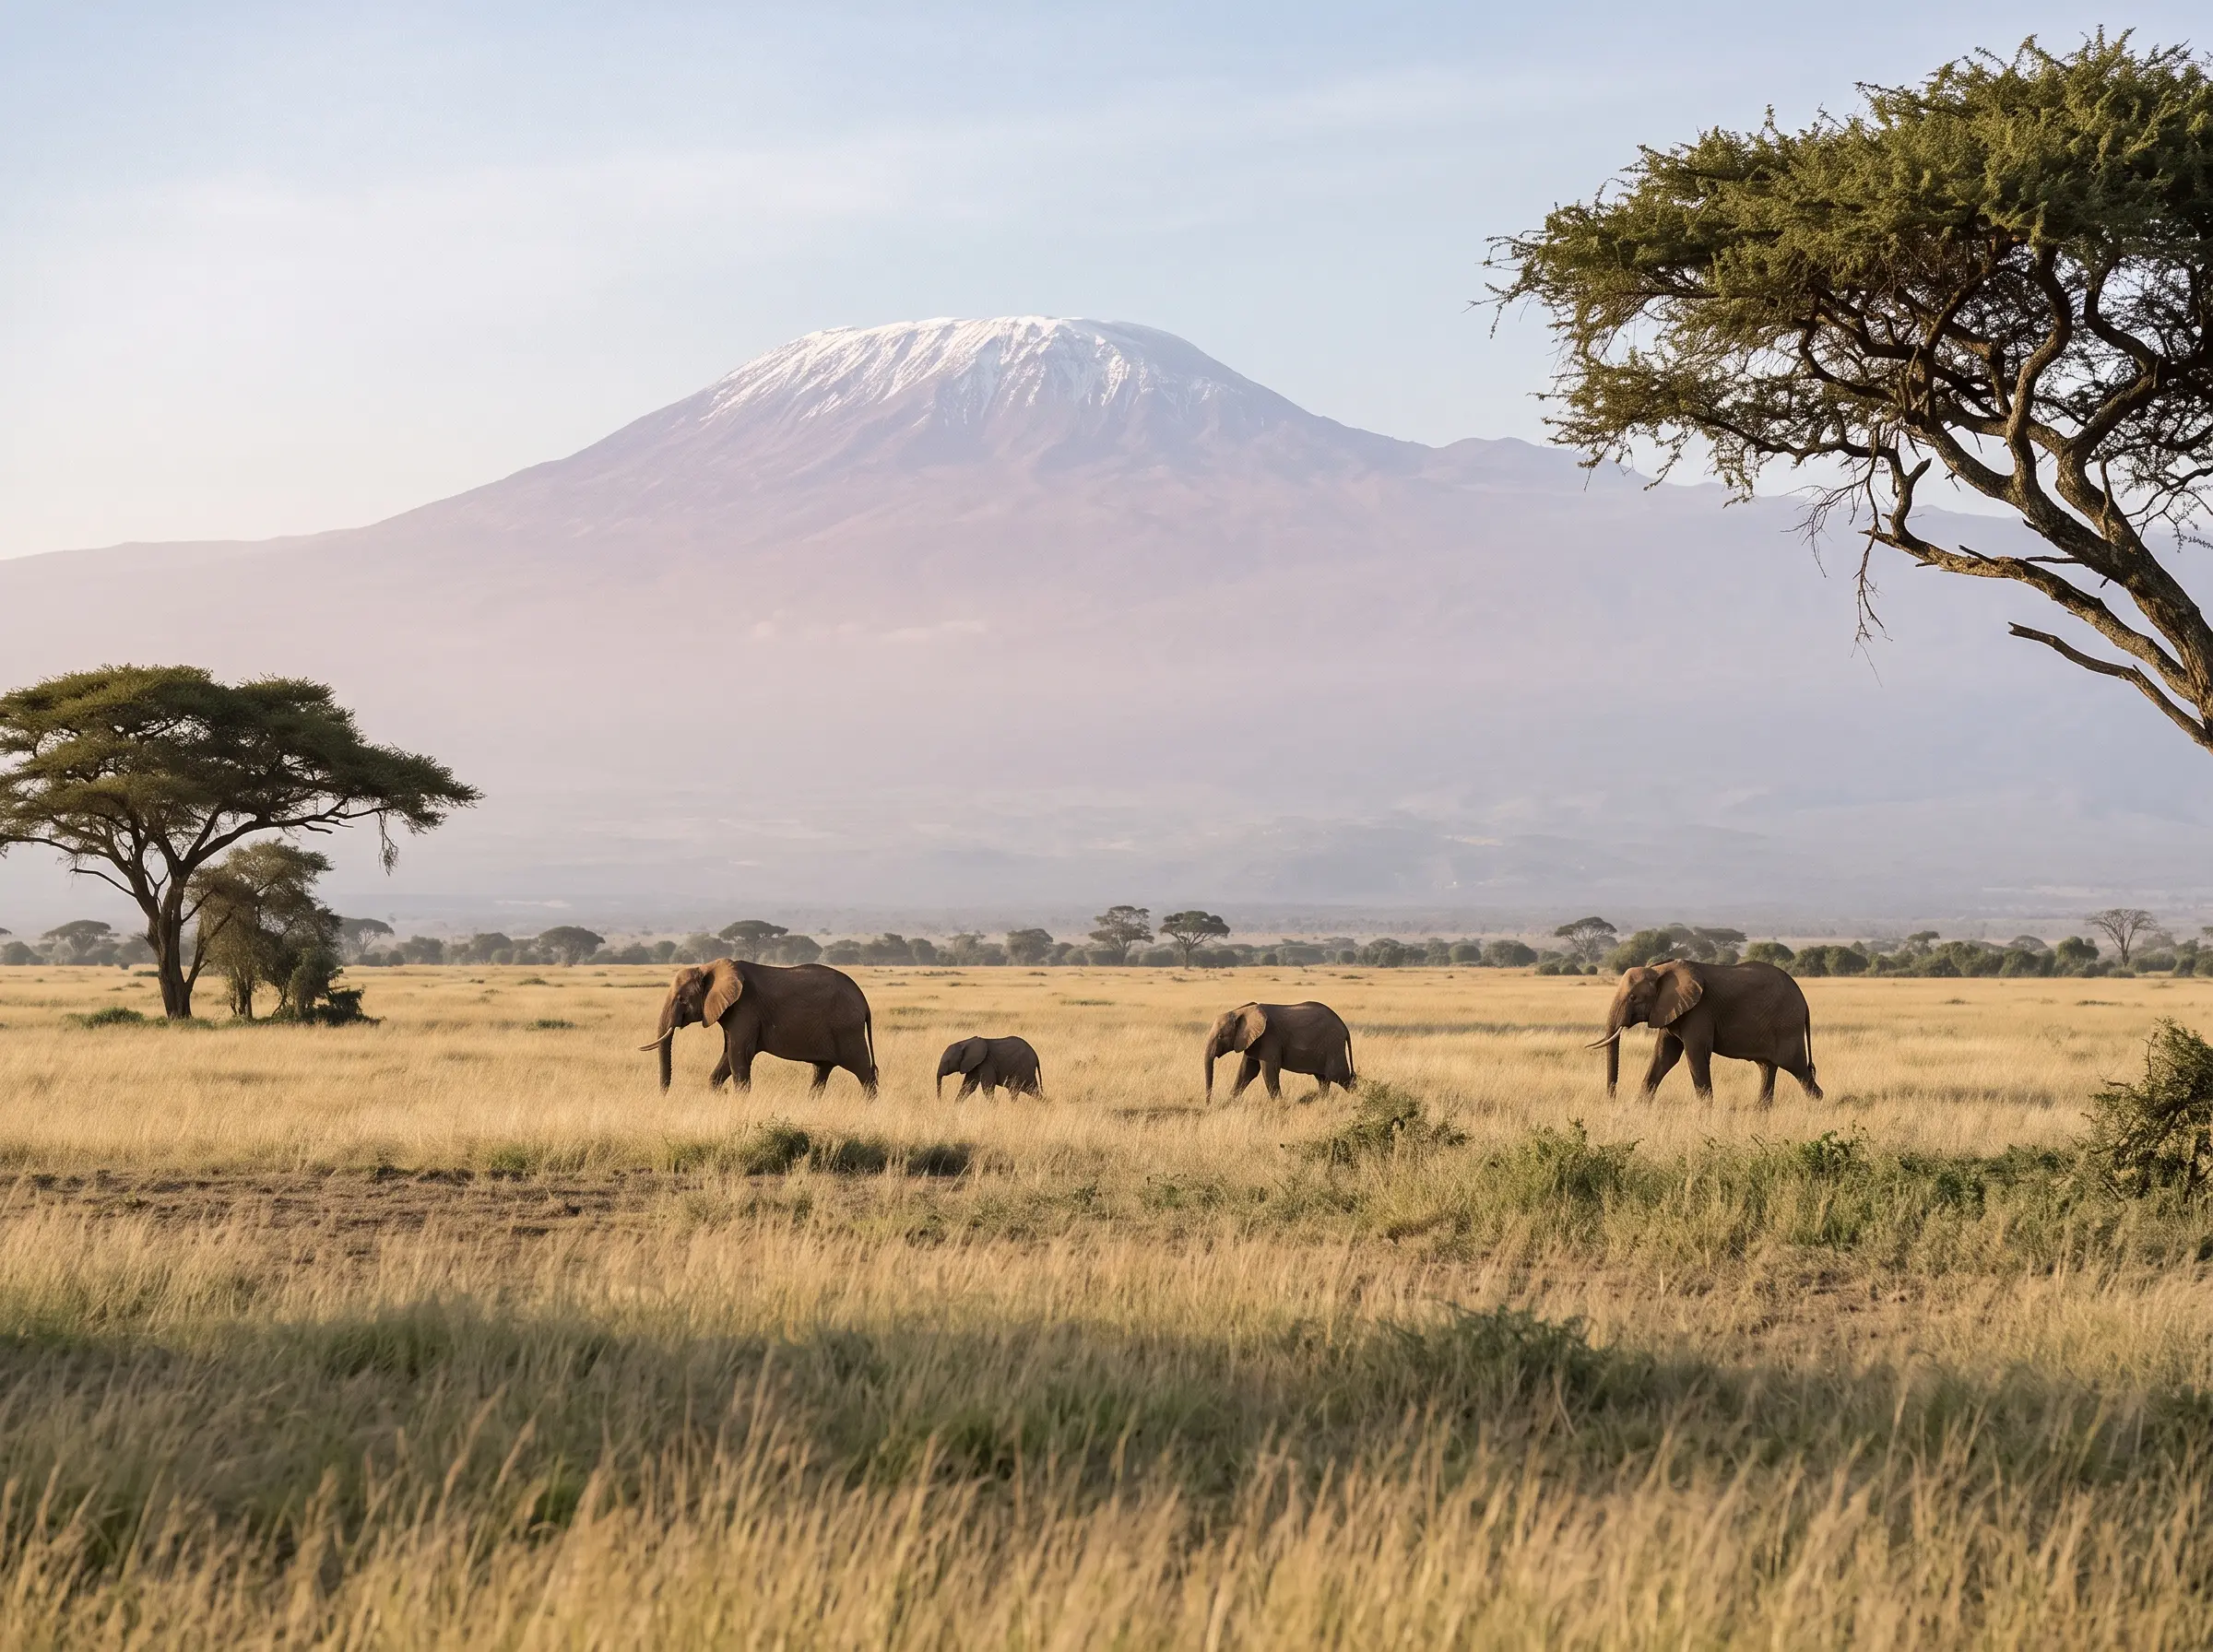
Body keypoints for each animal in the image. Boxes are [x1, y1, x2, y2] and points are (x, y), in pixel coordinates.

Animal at [641, 959, 877, 1095]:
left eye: (681, 999)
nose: (664, 1096)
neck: (708, 968)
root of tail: (865, 1002)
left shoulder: (745, 1009)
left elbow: (738, 1056)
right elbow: (727, 1056)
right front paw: (717, 1094)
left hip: (847, 1030)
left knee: (864, 1072)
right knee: (821, 1072)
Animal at [1204, 1001, 1356, 1101]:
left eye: (1220, 1036)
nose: (1208, 1104)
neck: (1241, 1011)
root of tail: (1344, 1027)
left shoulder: (1269, 1037)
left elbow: (1269, 1070)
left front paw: (1279, 1105)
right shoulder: (1254, 1040)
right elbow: (1246, 1071)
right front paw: (1230, 1103)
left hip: (1333, 1045)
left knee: (1339, 1076)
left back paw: (1358, 1098)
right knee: (1323, 1079)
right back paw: (1323, 1101)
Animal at [1588, 959, 1820, 1104]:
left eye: (1634, 998)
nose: (1612, 1099)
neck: (1660, 969)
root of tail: (1805, 1002)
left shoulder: (1699, 1010)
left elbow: (1695, 1054)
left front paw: (1705, 1113)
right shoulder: (1670, 1010)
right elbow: (1664, 1057)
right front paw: (1639, 1107)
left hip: (1787, 1026)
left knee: (1795, 1066)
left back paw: (1816, 1104)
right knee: (1767, 1067)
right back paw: (1760, 1111)